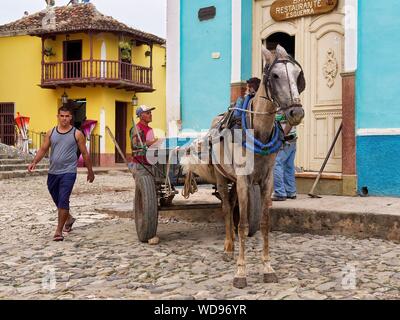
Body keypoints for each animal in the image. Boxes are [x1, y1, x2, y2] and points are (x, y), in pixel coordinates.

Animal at [183, 44, 304, 288]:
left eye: (298, 75)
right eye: (275, 75)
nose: (296, 112)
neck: (258, 130)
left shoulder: (266, 181)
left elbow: (264, 223)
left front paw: (267, 267)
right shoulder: (242, 180)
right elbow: (243, 225)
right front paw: (240, 272)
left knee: (231, 204)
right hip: (223, 178)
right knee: (226, 209)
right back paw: (228, 247)